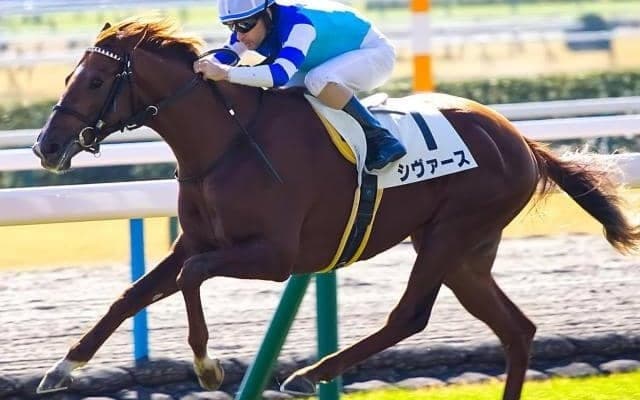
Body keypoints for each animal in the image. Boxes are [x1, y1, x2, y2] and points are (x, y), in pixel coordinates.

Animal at [32, 17, 639, 399]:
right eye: (66, 76)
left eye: (95, 80)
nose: (46, 146)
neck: (228, 142)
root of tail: (522, 142)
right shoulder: (198, 240)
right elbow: (132, 293)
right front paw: (63, 367)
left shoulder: (276, 257)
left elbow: (190, 277)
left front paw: (207, 367)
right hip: (467, 251)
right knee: (517, 330)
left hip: (453, 233)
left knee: (410, 316)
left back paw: (309, 373)